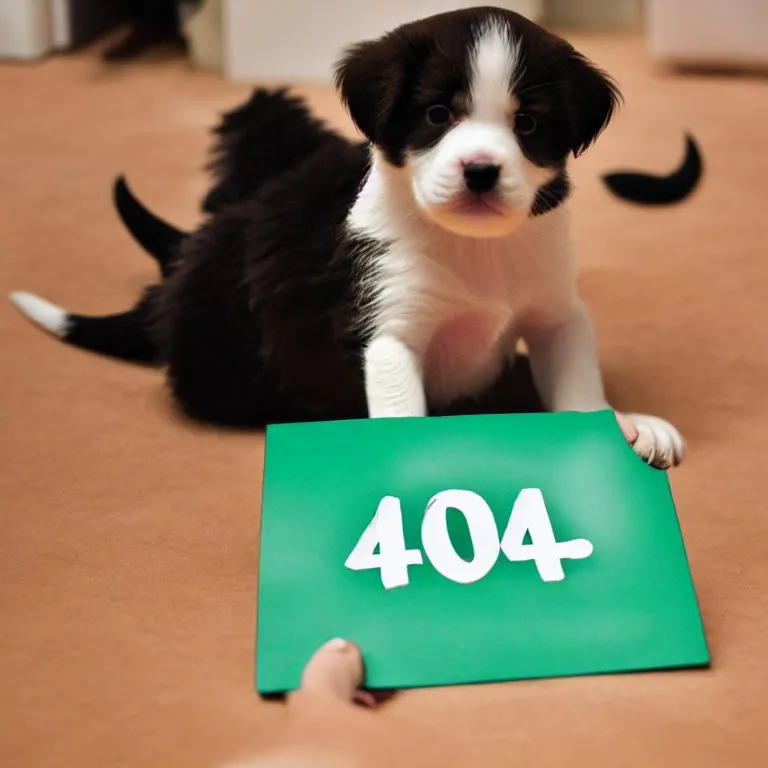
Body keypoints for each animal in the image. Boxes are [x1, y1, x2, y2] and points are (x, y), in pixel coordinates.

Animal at [10, 7, 684, 468]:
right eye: (437, 114)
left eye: (528, 124)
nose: (481, 172)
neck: (474, 248)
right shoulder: (386, 332)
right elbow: (403, 410)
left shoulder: (553, 311)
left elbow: (579, 387)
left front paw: (622, 427)